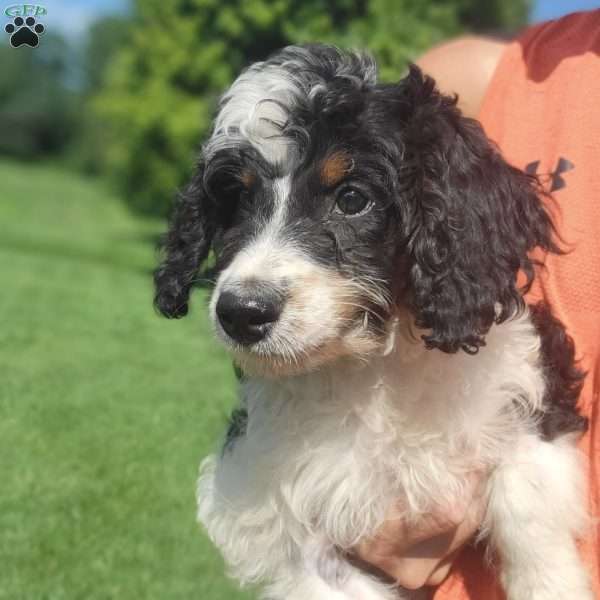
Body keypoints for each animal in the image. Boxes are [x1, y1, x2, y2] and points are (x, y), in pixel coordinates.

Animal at [154, 44, 592, 596]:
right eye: (235, 203)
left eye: (352, 199)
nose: (240, 313)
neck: (376, 365)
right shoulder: (282, 507)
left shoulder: (526, 384)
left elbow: (526, 500)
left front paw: (553, 584)